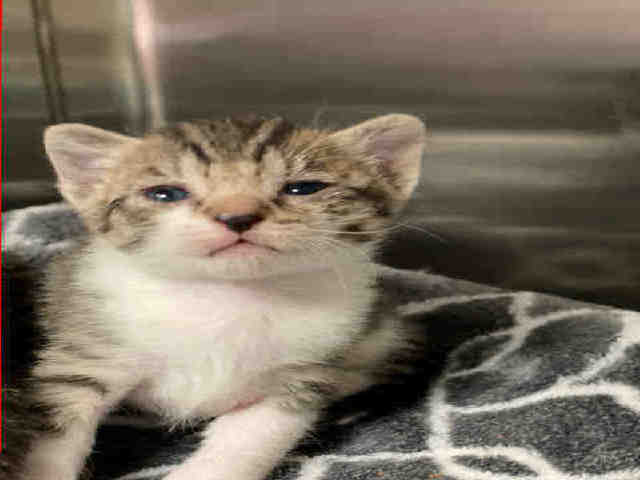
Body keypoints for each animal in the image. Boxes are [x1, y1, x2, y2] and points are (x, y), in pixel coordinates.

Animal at [2, 113, 427, 480]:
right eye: (165, 193)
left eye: (304, 187)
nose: (237, 217)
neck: (226, 297)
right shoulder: (86, 352)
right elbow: (55, 431)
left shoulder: (293, 378)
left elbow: (245, 445)